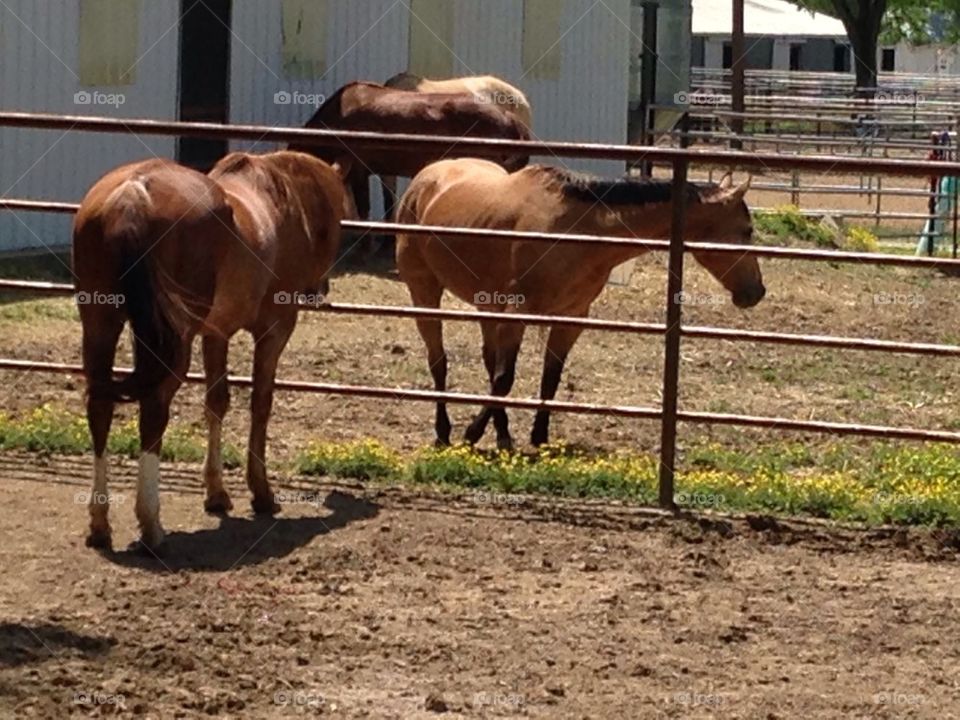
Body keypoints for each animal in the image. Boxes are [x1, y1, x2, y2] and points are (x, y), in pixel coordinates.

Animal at [75, 149, 350, 548]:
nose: (321, 289)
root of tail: (133, 195)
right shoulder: (274, 331)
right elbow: (260, 404)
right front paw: (261, 492)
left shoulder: (215, 335)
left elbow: (216, 403)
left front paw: (217, 493)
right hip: (172, 343)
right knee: (154, 410)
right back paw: (151, 522)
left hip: (100, 325)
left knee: (99, 406)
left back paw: (99, 523)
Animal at [396, 158, 764, 450]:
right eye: (746, 230)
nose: (756, 292)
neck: (580, 230)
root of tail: (425, 178)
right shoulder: (518, 312)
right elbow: (505, 380)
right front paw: (472, 432)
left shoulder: (571, 318)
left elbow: (548, 378)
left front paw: (538, 436)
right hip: (424, 291)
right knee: (439, 362)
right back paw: (444, 431)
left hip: (488, 304)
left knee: (489, 362)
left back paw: (502, 436)